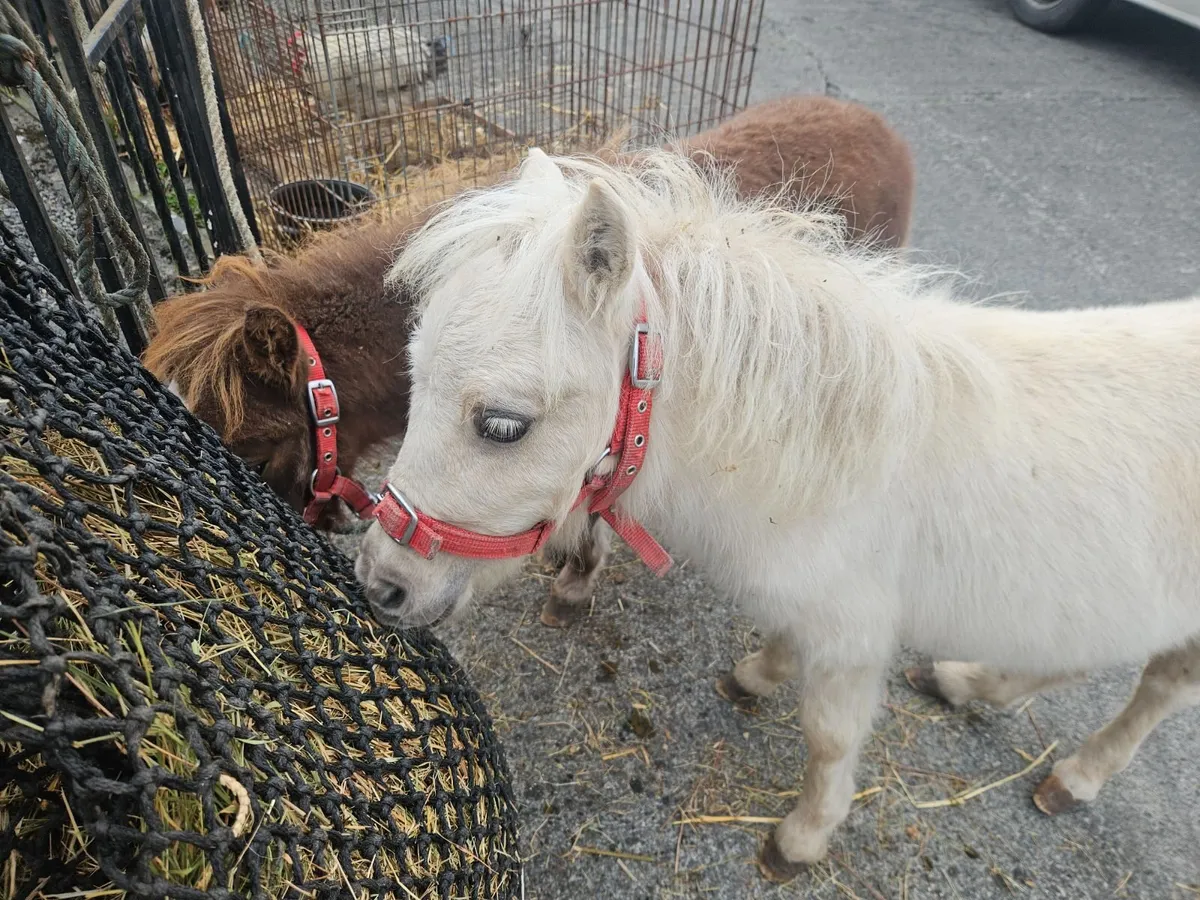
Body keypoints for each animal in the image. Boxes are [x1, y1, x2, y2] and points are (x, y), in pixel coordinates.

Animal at [354, 146, 1200, 881]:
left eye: (503, 424)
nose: (380, 582)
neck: (829, 458)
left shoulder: (854, 637)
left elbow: (829, 741)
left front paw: (801, 838)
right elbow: (784, 648)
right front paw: (758, 676)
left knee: (1161, 684)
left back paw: (1076, 775)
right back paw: (971, 687)